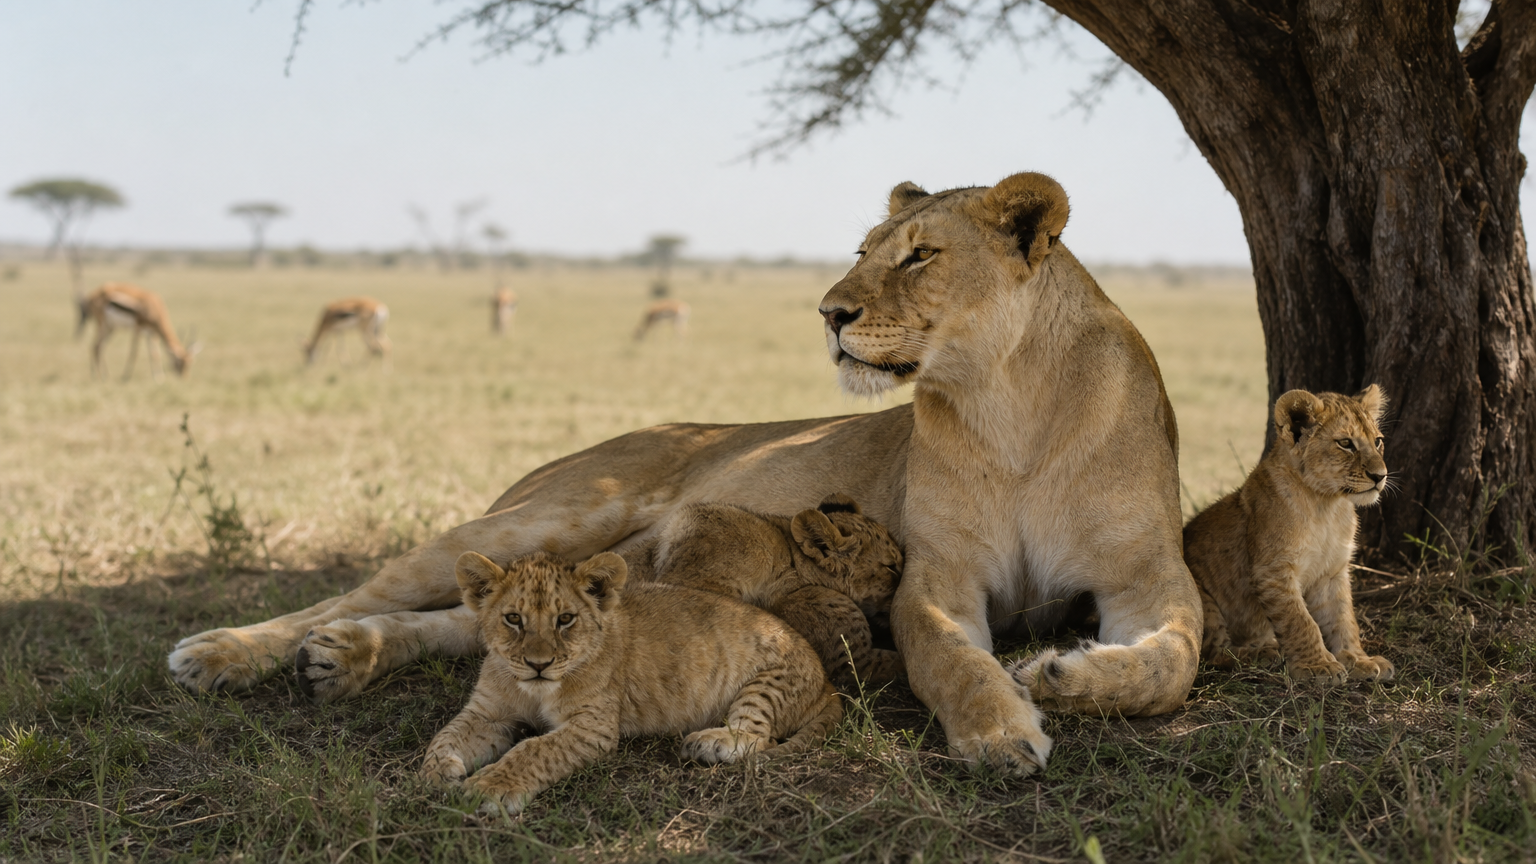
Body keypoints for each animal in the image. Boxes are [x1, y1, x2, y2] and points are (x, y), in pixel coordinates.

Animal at [421, 551, 842, 815]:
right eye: (513, 619)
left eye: (565, 619)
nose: (538, 665)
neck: (535, 691)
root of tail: (827, 682)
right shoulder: (488, 712)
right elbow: (445, 736)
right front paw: (437, 772)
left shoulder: (594, 727)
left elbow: (534, 749)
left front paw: (489, 788)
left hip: (768, 682)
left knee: (758, 737)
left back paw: (708, 743)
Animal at [1184, 386, 1394, 682]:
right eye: (1345, 443)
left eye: (1377, 441)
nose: (1380, 476)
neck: (1327, 505)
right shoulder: (1273, 570)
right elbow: (1301, 621)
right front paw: (1318, 666)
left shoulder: (1333, 571)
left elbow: (1343, 618)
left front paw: (1357, 659)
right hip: (1199, 600)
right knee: (1214, 654)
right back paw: (1263, 652)